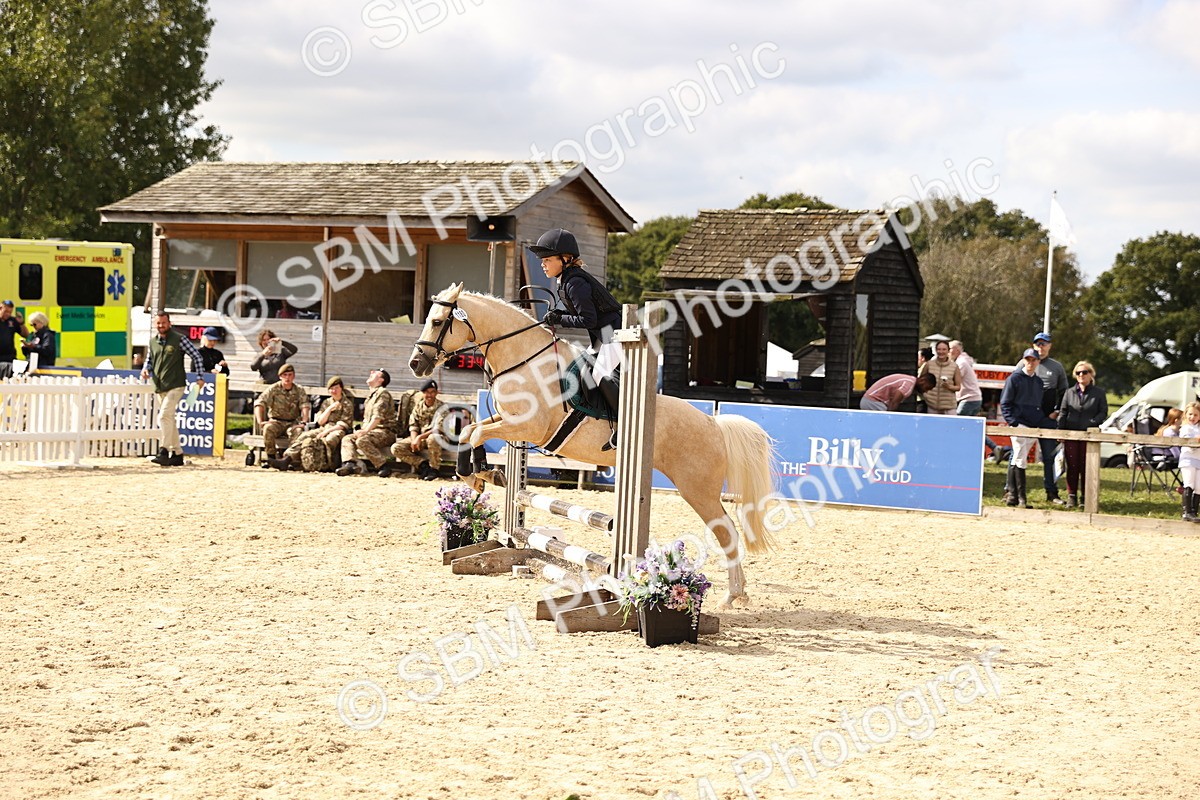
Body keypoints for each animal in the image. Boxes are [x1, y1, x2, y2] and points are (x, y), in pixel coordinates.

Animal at [408, 282, 778, 606]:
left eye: (438, 322)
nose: (416, 364)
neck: (525, 360)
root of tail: (714, 424)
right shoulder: (508, 422)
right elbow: (471, 430)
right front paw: (479, 476)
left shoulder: (529, 427)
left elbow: (474, 434)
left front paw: (478, 473)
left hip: (696, 489)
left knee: (727, 532)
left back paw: (733, 595)